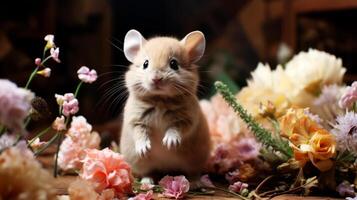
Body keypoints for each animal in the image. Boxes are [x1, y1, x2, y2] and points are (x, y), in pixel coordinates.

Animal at [119, 29, 210, 178]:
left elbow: (175, 129)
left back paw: (196, 181)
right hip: (140, 163)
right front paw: (145, 149)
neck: (159, 99)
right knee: (147, 173)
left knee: (193, 173)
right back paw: (148, 180)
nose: (156, 79)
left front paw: (169, 144)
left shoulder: (187, 120)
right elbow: (139, 133)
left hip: (194, 161)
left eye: (174, 64)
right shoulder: (135, 120)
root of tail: (165, 168)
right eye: (145, 64)